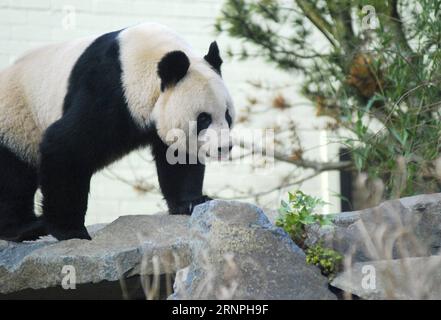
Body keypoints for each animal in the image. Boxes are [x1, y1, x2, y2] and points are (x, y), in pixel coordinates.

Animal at [0, 22, 234, 241]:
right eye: (204, 118)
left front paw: (192, 202)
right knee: (14, 176)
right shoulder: (108, 91)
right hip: (17, 118)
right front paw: (71, 231)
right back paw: (25, 228)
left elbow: (177, 158)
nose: (225, 147)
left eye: (228, 115)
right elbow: (64, 146)